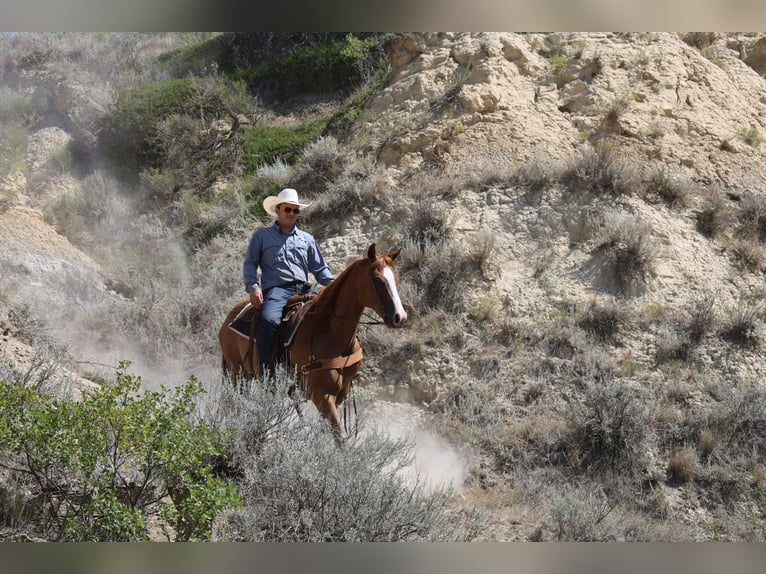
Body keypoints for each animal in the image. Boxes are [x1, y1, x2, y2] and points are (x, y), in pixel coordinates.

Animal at [219, 243, 407, 439]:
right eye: (377, 280)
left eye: (396, 279)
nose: (400, 317)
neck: (331, 334)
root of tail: (229, 319)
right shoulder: (322, 396)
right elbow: (339, 437)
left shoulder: (342, 393)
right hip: (237, 374)